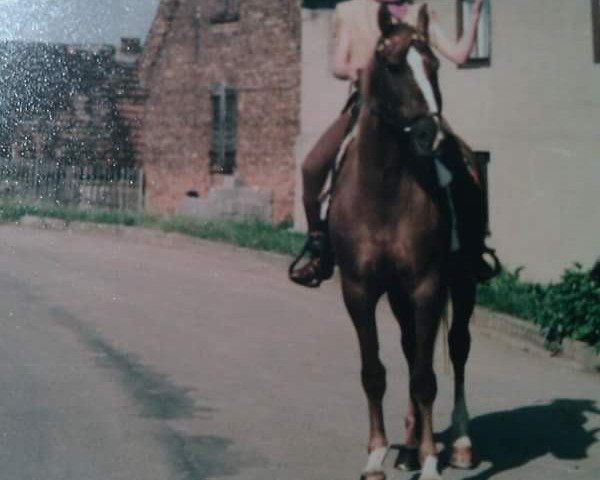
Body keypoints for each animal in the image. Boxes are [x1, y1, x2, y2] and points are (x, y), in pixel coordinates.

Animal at [328, 4, 478, 480]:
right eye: (393, 67)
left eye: (434, 67)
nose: (433, 138)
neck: (384, 189)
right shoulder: (359, 290)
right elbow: (375, 371)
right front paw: (376, 455)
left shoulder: (427, 286)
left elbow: (426, 378)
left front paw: (431, 462)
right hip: (397, 295)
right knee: (413, 348)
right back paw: (409, 447)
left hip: (463, 282)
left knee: (457, 348)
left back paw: (460, 444)